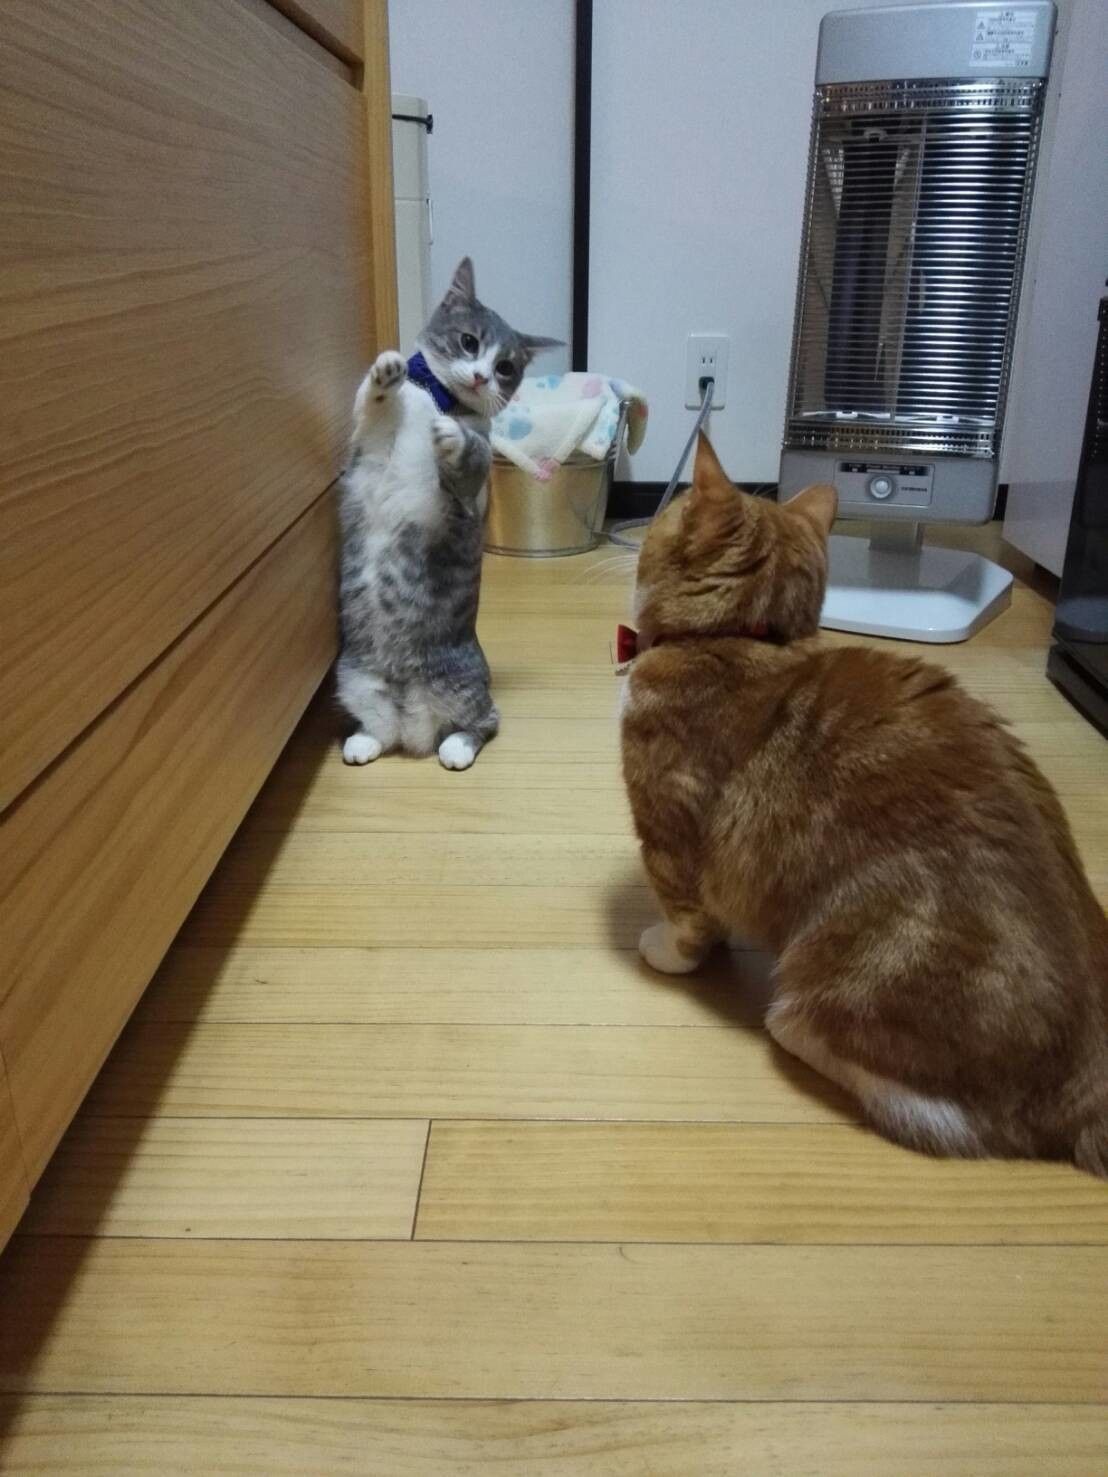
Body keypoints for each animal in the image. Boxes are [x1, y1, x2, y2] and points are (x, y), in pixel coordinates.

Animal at [337, 257, 560, 770]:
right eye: (469, 342)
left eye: (505, 368)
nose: (481, 377)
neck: (439, 399)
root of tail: (411, 722)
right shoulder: (370, 448)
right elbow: (369, 409)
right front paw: (385, 373)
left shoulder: (468, 497)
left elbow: (472, 454)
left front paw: (454, 436)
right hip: (354, 679)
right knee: (379, 729)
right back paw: (363, 741)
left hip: (461, 686)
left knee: (485, 721)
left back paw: (457, 746)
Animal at [620, 431, 1108, 1174]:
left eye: (668, 510)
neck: (742, 640)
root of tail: (1088, 1071)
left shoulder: (670, 831)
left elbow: (686, 916)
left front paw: (669, 952)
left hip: (845, 973)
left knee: (955, 1120)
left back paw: (789, 1027)